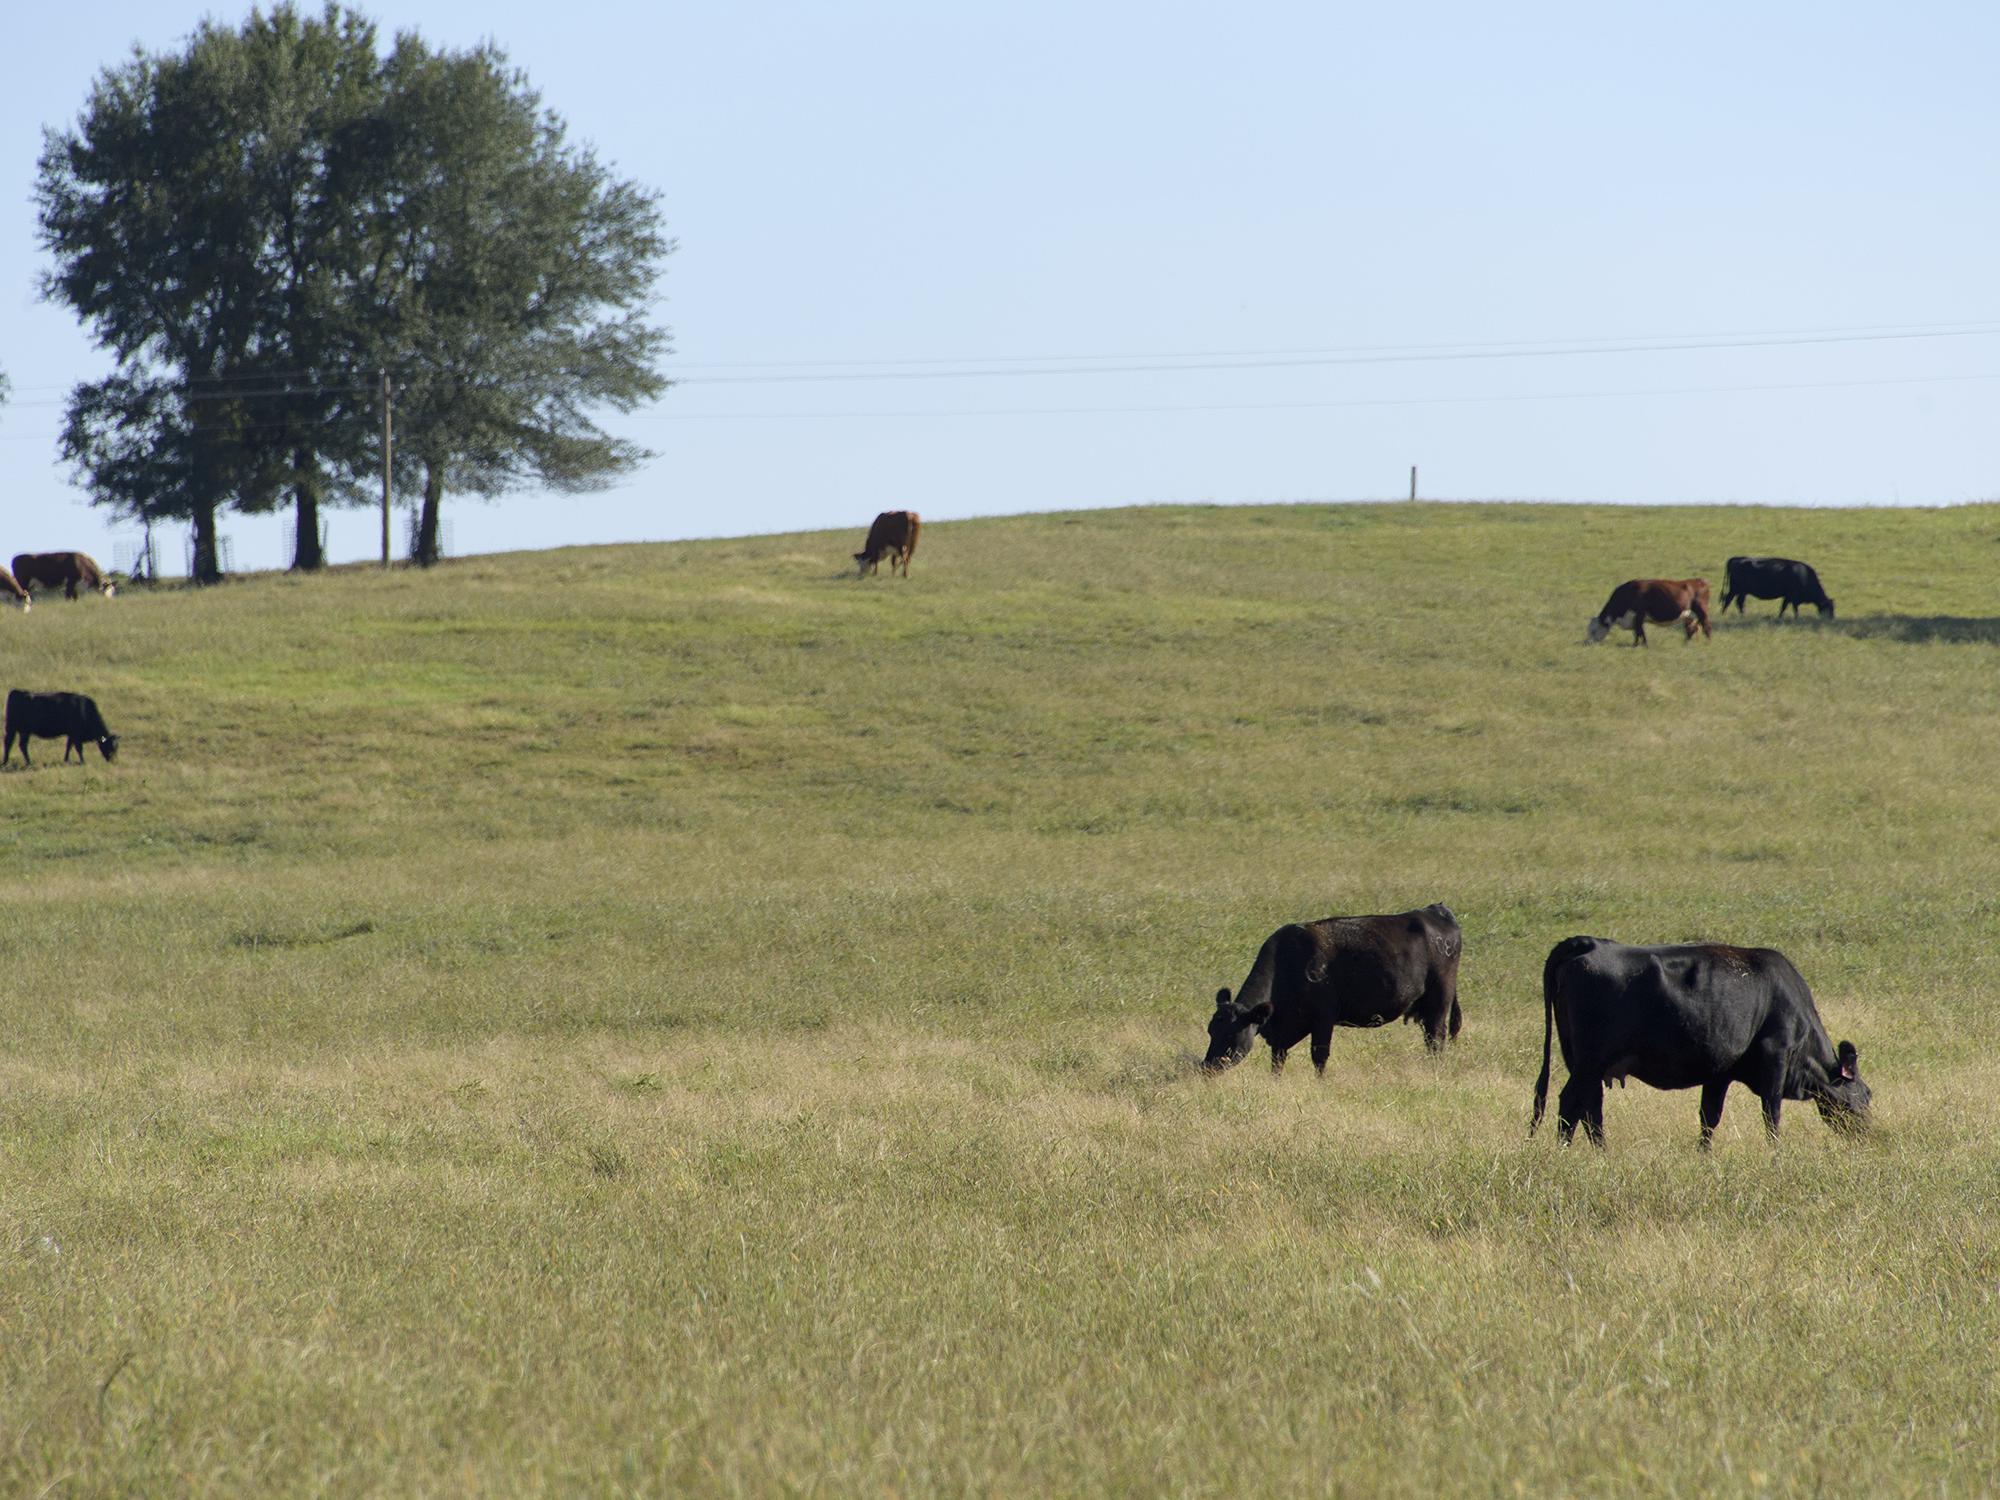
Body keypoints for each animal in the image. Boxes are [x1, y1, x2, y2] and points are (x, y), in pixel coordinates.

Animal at [1200, 912, 1472, 1072]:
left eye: (1231, 1034)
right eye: (1211, 1030)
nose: (1207, 1067)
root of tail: (1435, 911)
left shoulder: (1324, 1017)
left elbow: (1319, 1056)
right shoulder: (1282, 1033)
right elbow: (1277, 1059)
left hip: (1440, 999)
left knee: (1436, 1038)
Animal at [1528, 940, 1872, 1152]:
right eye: (1866, 1095)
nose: (1870, 1135)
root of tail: (1588, 945)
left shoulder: (1720, 1072)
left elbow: (1709, 1117)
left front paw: (1703, 1152)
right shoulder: (1776, 1058)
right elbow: (1771, 1115)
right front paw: (1775, 1152)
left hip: (1587, 1065)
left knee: (1590, 1109)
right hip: (1590, 1062)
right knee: (1571, 1104)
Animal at [1584, 576, 1712, 648]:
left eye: (1593, 630)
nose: (1587, 643)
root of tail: (1700, 581)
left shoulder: (1639, 616)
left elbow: (1640, 632)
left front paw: (1641, 645)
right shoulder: (1635, 619)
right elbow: (1638, 632)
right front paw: (1637, 645)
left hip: (1702, 612)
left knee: (1706, 628)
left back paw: (1708, 644)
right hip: (1689, 615)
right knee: (1691, 629)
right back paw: (1685, 644)